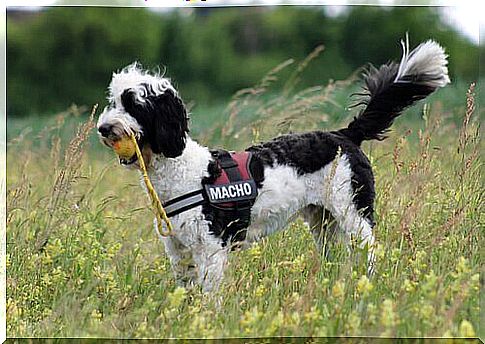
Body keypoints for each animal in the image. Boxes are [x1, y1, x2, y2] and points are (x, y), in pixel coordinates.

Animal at [96, 37, 448, 292]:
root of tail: (343, 134)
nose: (103, 128)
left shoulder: (210, 249)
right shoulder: (178, 251)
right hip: (324, 223)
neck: (184, 171)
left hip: (354, 215)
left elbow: (209, 297)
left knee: (370, 254)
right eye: (114, 102)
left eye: (135, 104)